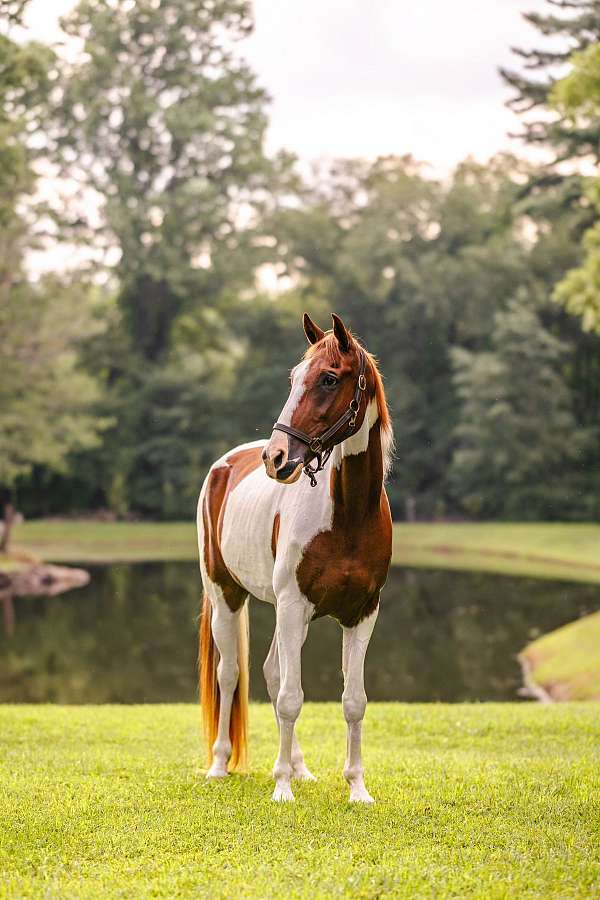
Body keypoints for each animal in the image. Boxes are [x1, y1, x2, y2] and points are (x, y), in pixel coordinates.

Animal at [197, 312, 394, 800]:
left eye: (328, 378)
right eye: (293, 378)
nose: (277, 457)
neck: (348, 516)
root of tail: (225, 465)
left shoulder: (362, 613)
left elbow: (354, 701)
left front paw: (357, 788)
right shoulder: (290, 605)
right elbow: (290, 698)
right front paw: (282, 788)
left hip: (295, 618)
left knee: (270, 671)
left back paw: (300, 767)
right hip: (228, 597)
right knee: (231, 674)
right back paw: (220, 765)